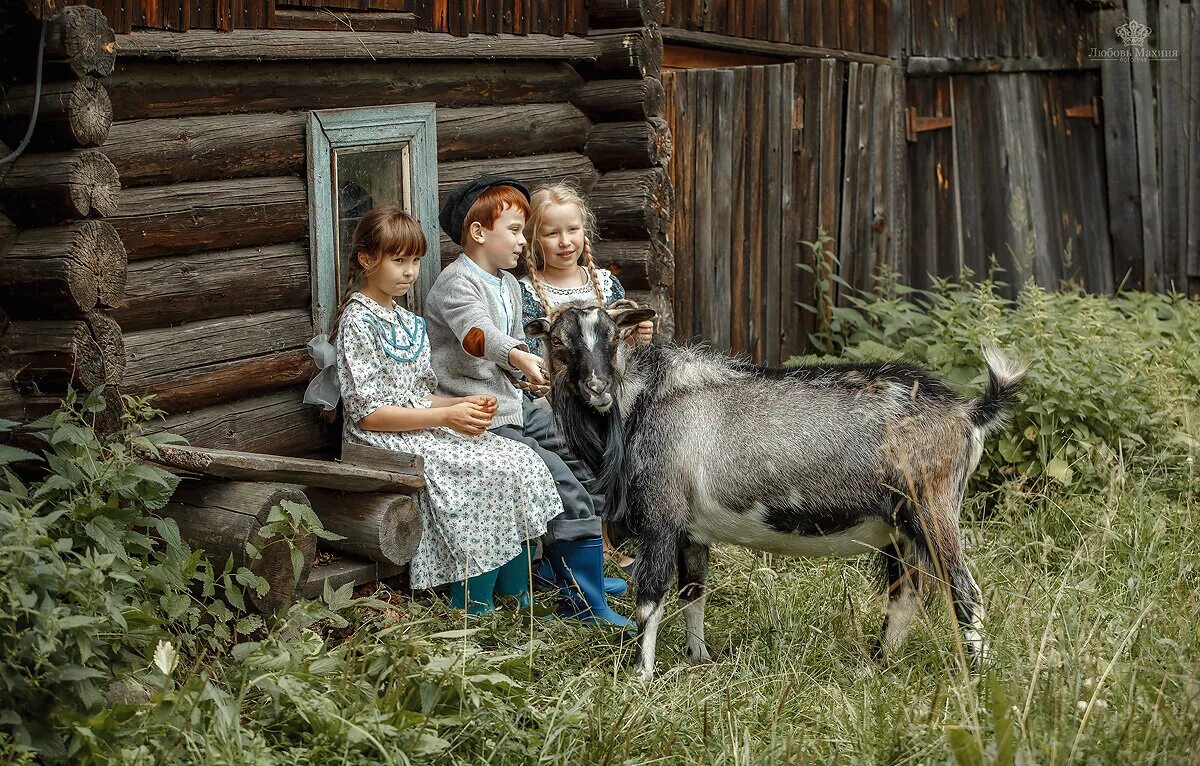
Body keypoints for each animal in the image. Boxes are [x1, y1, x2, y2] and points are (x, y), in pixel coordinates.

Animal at [530, 306, 1027, 681]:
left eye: (612, 338)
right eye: (558, 343)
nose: (597, 390)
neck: (646, 400)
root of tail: (968, 412)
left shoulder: (660, 518)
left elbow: (649, 597)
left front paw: (640, 674)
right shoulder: (692, 532)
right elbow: (694, 592)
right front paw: (699, 659)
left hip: (932, 510)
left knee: (966, 593)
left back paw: (978, 678)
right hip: (901, 530)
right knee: (905, 594)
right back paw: (877, 664)